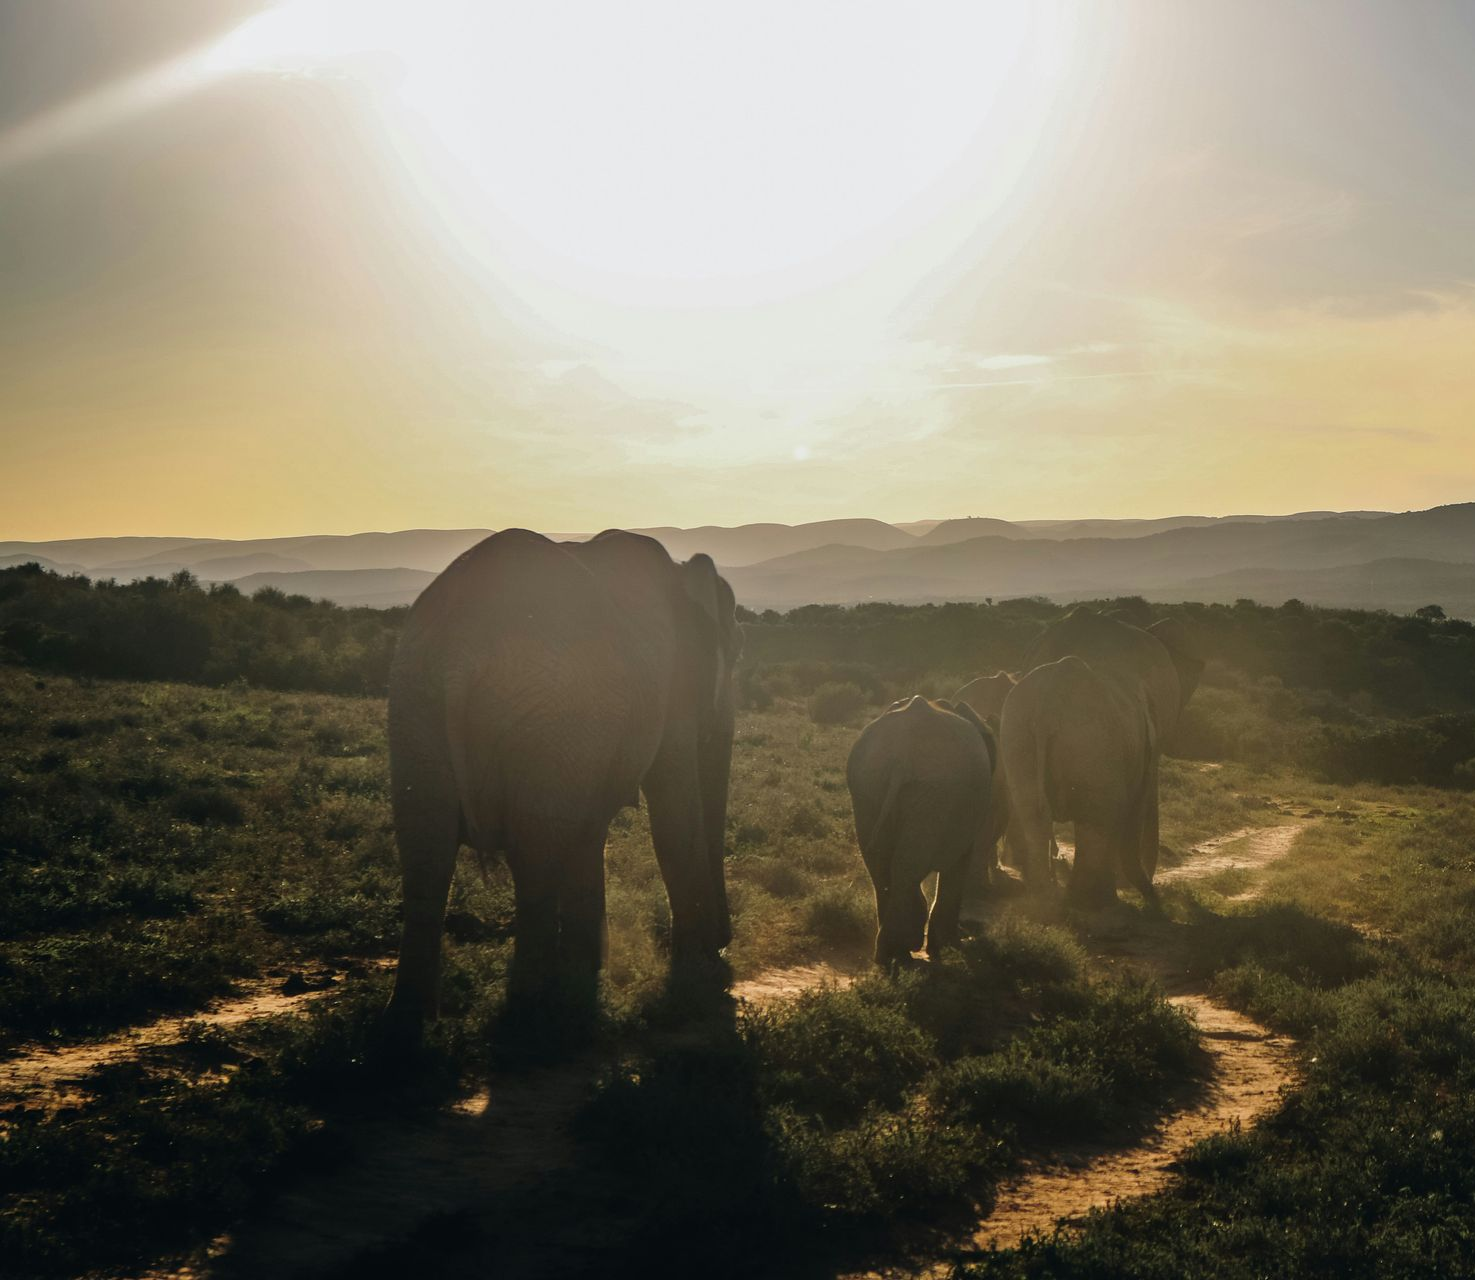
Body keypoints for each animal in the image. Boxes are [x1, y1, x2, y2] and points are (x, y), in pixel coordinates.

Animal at [383, 528, 741, 1040]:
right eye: (737, 653)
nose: (728, 944)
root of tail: (460, 652)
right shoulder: (672, 691)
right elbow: (673, 817)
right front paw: (701, 977)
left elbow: (590, 832)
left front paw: (587, 970)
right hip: (549, 716)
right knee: (533, 861)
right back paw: (530, 1016)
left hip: (416, 706)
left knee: (426, 855)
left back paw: (407, 1024)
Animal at [847, 695, 997, 966]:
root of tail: (901, 756)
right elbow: (959, 864)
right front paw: (947, 949)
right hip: (933, 793)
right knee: (904, 869)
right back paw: (900, 951)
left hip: (869, 786)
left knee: (882, 866)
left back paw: (887, 955)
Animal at [1000, 656, 1160, 912]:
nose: (1153, 898)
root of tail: (1048, 702)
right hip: (1091, 743)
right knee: (1097, 820)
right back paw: (1081, 901)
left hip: (1017, 737)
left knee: (1033, 814)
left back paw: (1047, 899)